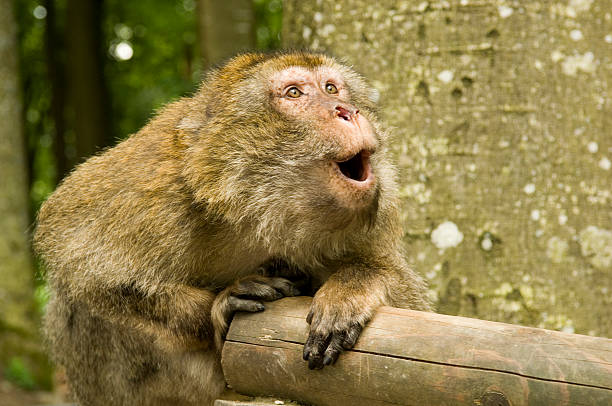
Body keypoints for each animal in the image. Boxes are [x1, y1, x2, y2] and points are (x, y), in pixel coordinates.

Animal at [34, 51, 430, 406]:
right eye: (294, 93)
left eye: (332, 88)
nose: (346, 110)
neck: (259, 208)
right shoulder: (157, 182)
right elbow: (74, 249)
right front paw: (220, 306)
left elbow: (412, 326)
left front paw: (351, 288)